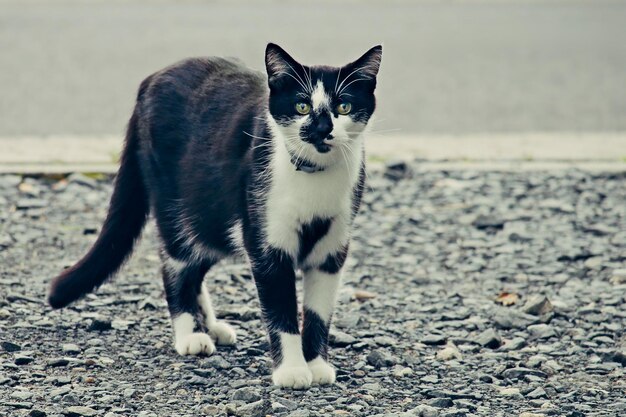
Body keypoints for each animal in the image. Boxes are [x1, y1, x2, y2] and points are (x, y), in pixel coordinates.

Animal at [48, 44, 380, 388]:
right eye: (301, 106)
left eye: (343, 106)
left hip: (213, 217)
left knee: (196, 264)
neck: (315, 179)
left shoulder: (332, 251)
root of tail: (152, 78)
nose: (322, 129)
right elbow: (281, 311)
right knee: (176, 263)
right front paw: (292, 370)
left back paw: (209, 324)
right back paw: (190, 334)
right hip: (179, 205)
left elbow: (318, 314)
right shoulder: (266, 245)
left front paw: (316, 365)